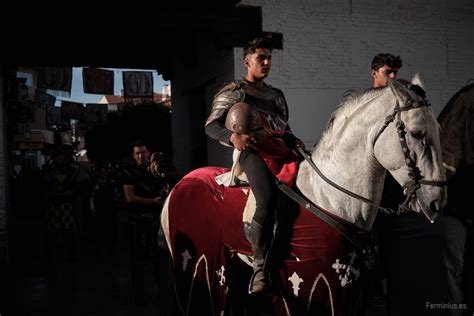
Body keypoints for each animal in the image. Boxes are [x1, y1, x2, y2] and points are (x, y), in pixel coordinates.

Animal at [158, 74, 444, 316]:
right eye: (417, 133)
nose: (437, 201)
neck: (328, 197)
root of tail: (178, 185)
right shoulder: (313, 285)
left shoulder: (352, 289)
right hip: (197, 263)